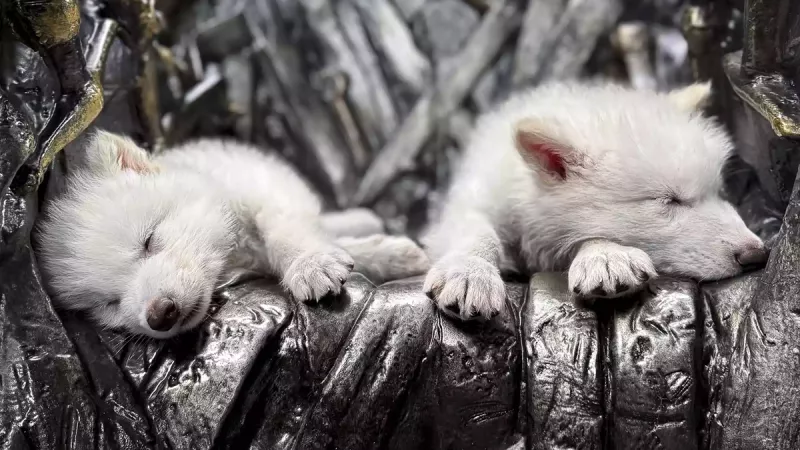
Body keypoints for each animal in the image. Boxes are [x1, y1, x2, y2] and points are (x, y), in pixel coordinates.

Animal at [35, 132, 430, 338]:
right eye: (109, 303)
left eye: (148, 240)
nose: (159, 315)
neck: (232, 256)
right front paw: (387, 255)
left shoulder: (265, 191)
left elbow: (287, 231)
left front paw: (311, 264)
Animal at [421, 81, 768, 320]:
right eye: (670, 200)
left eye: (718, 193)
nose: (758, 255)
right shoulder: (473, 199)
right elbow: (477, 231)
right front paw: (469, 272)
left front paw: (606, 256)